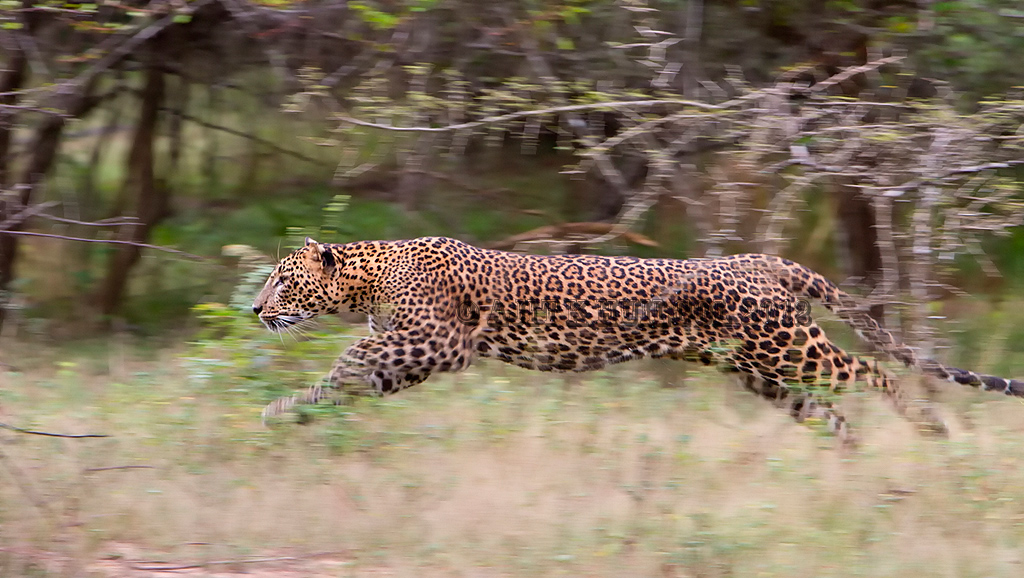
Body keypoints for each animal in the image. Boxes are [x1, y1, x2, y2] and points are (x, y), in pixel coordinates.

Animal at [252, 236, 1024, 444]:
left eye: (283, 281)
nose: (258, 311)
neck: (369, 276)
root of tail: (763, 258)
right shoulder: (407, 353)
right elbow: (349, 377)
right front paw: (287, 414)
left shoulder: (430, 346)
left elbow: (346, 366)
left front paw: (275, 409)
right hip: (757, 369)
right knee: (826, 409)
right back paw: (849, 456)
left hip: (787, 346)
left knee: (872, 370)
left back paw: (927, 429)